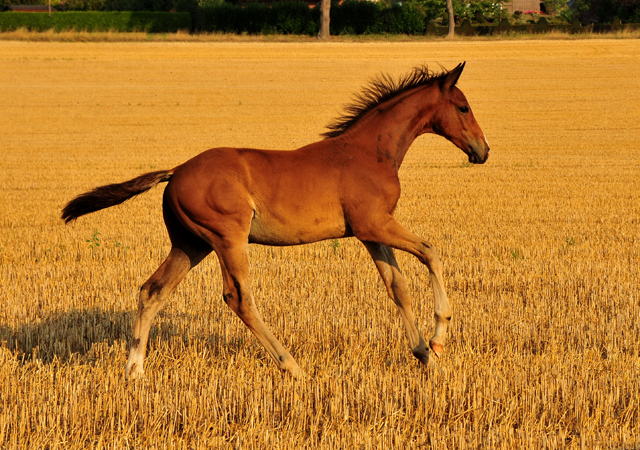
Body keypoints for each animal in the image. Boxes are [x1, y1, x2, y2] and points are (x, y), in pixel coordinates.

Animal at [61, 62, 490, 380]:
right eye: (463, 107)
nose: (482, 151)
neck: (372, 151)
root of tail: (176, 171)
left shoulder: (370, 233)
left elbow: (397, 287)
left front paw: (426, 356)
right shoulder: (375, 225)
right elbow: (431, 252)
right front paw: (439, 338)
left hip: (191, 243)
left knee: (153, 290)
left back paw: (134, 371)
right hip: (227, 238)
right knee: (238, 297)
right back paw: (292, 366)